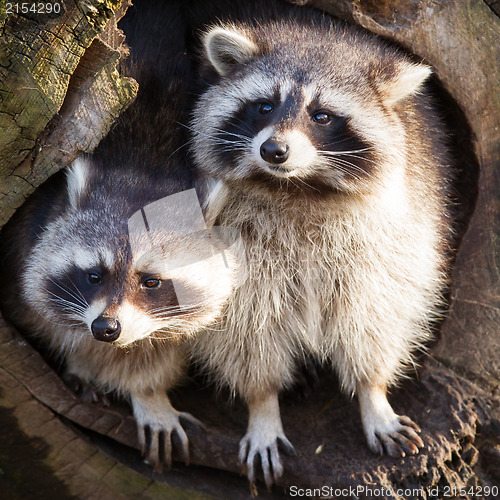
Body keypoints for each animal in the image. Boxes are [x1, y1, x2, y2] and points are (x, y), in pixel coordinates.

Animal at [0, 0, 234, 468]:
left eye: (152, 281)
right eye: (94, 275)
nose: (106, 328)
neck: (146, 164)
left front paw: (150, 394)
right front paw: (82, 364)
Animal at [188, 1, 454, 488]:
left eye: (322, 116)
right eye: (264, 106)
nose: (274, 150)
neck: (299, 188)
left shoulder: (398, 229)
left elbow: (377, 314)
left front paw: (373, 393)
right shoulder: (228, 239)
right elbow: (241, 327)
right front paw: (262, 405)